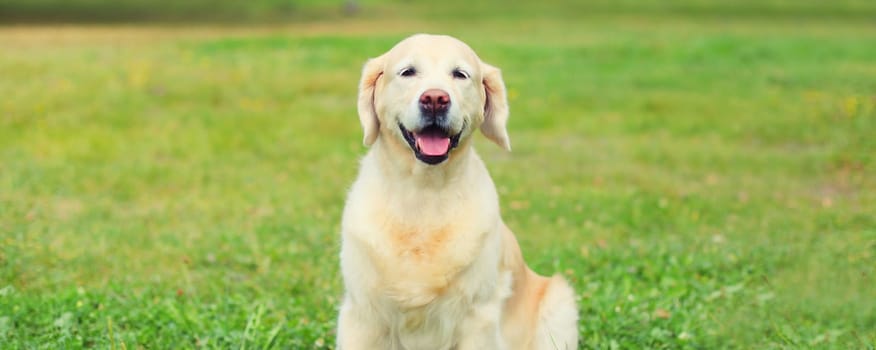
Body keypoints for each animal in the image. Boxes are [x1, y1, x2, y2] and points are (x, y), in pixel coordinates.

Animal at [338, 33, 580, 350]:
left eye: (460, 74)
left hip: (559, 304)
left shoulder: (478, 317)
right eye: (407, 72)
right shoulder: (362, 315)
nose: (435, 99)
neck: (422, 195)